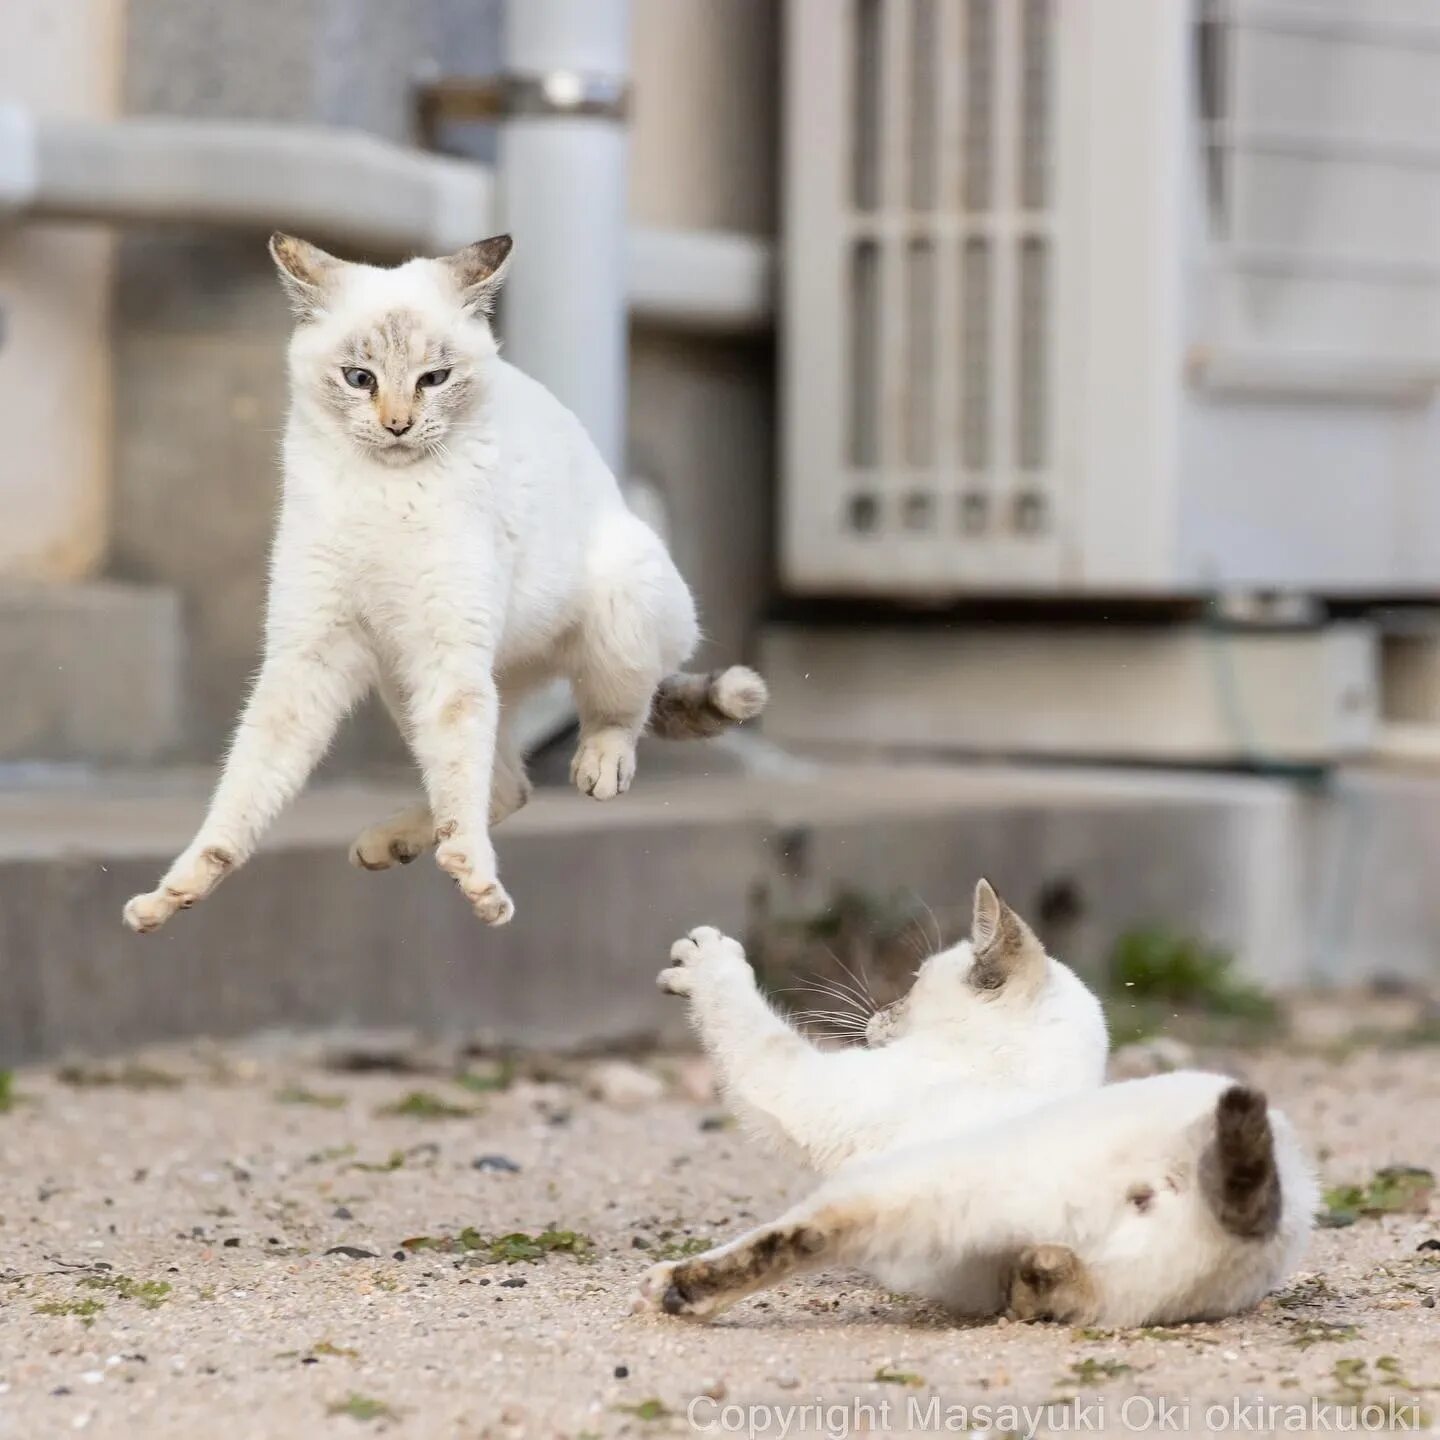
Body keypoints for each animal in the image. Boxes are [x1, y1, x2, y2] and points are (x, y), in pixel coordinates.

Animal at [123, 231, 766, 938]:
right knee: (509, 783)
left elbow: (460, 774)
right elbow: (246, 787)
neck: (383, 493)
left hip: (618, 599)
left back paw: (598, 767)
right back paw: (390, 843)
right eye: (360, 378)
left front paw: (480, 885)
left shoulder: (449, 654)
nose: (399, 424)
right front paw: (174, 894)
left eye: (435, 379)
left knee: (619, 710)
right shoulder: (309, 654)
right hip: (403, 683)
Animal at [636, 881, 1319, 1330]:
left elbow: (748, 1028)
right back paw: (1037, 1278)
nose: (880, 1016)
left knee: (802, 1236)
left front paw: (706, 961)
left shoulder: (800, 1087)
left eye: (913, 981)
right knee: (1077, 1298)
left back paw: (678, 1288)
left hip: (911, 1186)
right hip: (1137, 1282)